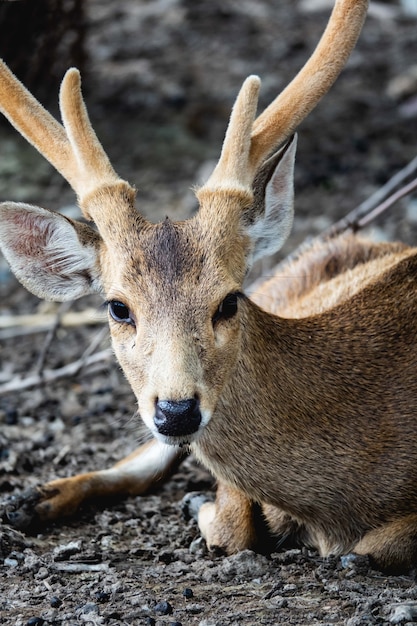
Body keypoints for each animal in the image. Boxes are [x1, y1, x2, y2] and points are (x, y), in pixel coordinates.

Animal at [2, 0, 416, 572]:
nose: (177, 411)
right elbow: (234, 524)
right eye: (117, 307)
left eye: (229, 301)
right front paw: (205, 503)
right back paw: (28, 501)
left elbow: (371, 548)